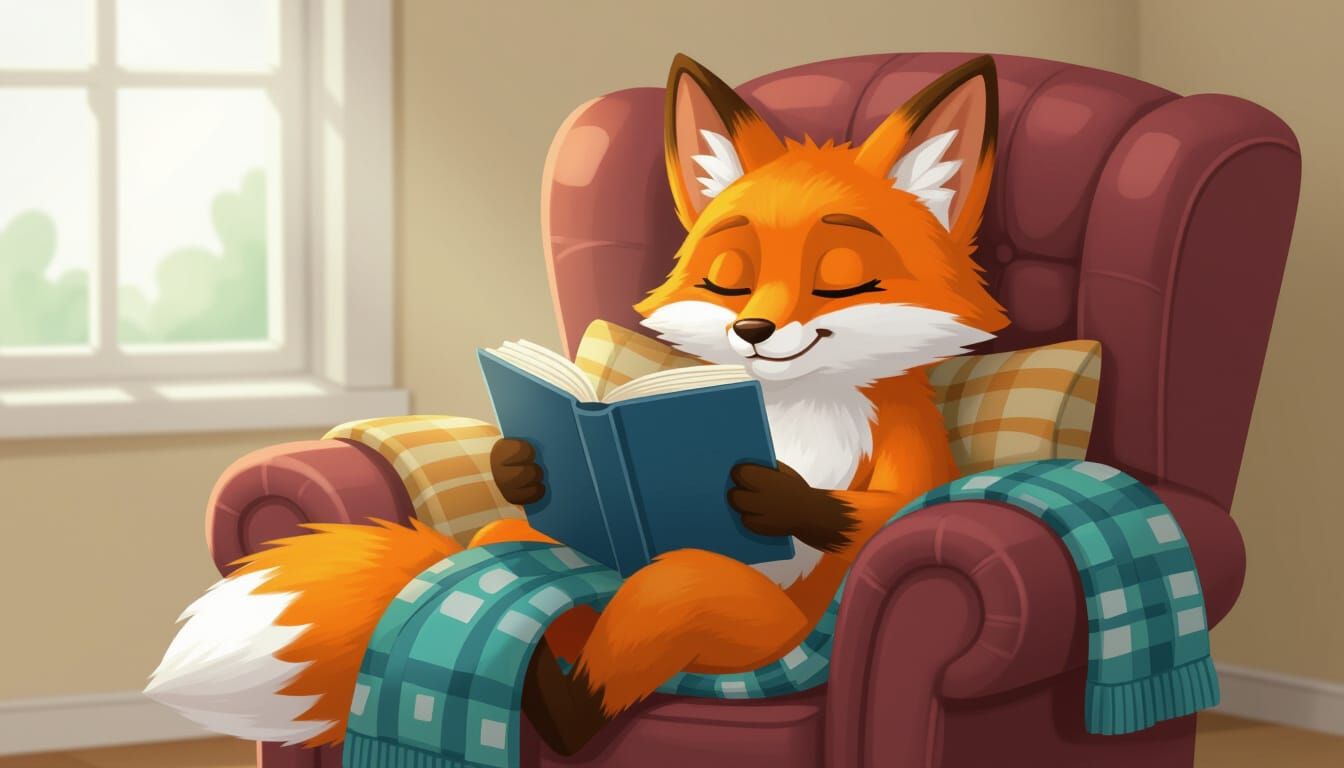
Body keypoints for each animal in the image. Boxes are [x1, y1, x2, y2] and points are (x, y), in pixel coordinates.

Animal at [146, 53, 1008, 758]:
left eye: (840, 278)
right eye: (726, 279)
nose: (753, 332)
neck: (793, 401)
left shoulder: (904, 442)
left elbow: (890, 506)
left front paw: (774, 495)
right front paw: (518, 464)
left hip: (749, 630)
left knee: (669, 593)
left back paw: (553, 698)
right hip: (560, 569)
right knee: (512, 550)